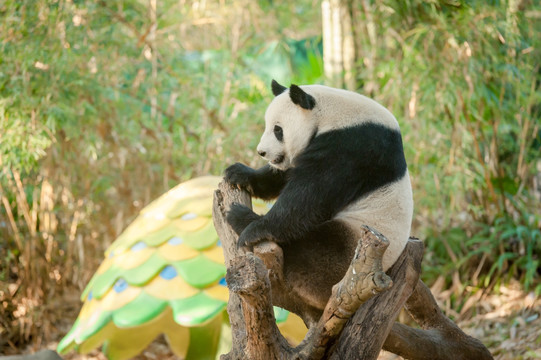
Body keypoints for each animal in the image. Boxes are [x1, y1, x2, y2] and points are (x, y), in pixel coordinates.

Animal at [224, 80, 414, 322]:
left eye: (278, 130)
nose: (262, 152)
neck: (330, 113)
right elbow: (288, 176)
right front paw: (240, 174)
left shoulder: (352, 147)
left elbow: (310, 194)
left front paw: (253, 228)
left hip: (347, 250)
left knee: (314, 252)